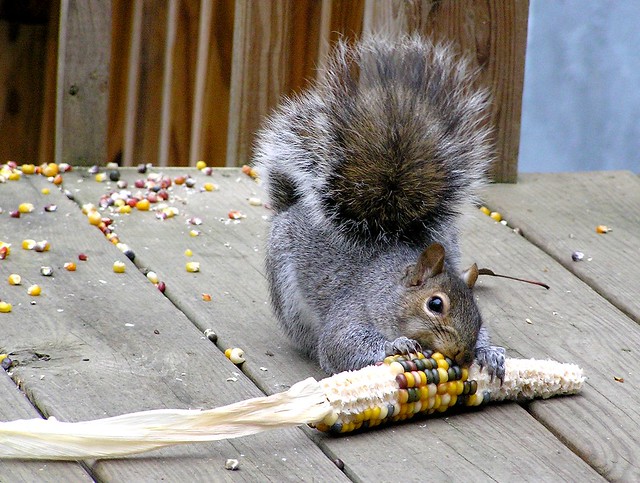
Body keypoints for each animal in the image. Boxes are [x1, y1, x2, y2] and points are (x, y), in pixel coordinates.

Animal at [254, 35, 504, 382]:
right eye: (435, 305)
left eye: (477, 310)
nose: (464, 356)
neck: (390, 286)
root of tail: (290, 208)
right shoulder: (352, 312)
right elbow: (340, 344)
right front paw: (397, 345)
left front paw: (490, 353)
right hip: (287, 291)